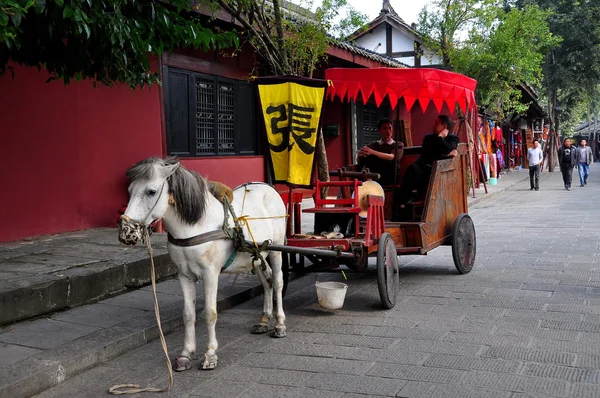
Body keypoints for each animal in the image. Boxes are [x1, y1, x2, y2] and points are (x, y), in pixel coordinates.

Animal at [118, 155, 288, 370]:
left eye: (151, 191)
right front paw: (185, 354)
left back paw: (280, 324)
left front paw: (210, 355)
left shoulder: (210, 274)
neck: (196, 226)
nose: (126, 232)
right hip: (256, 255)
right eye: (130, 190)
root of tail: (267, 187)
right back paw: (264, 321)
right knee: (267, 283)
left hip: (276, 251)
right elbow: (188, 314)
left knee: (278, 282)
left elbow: (210, 313)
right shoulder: (184, 275)